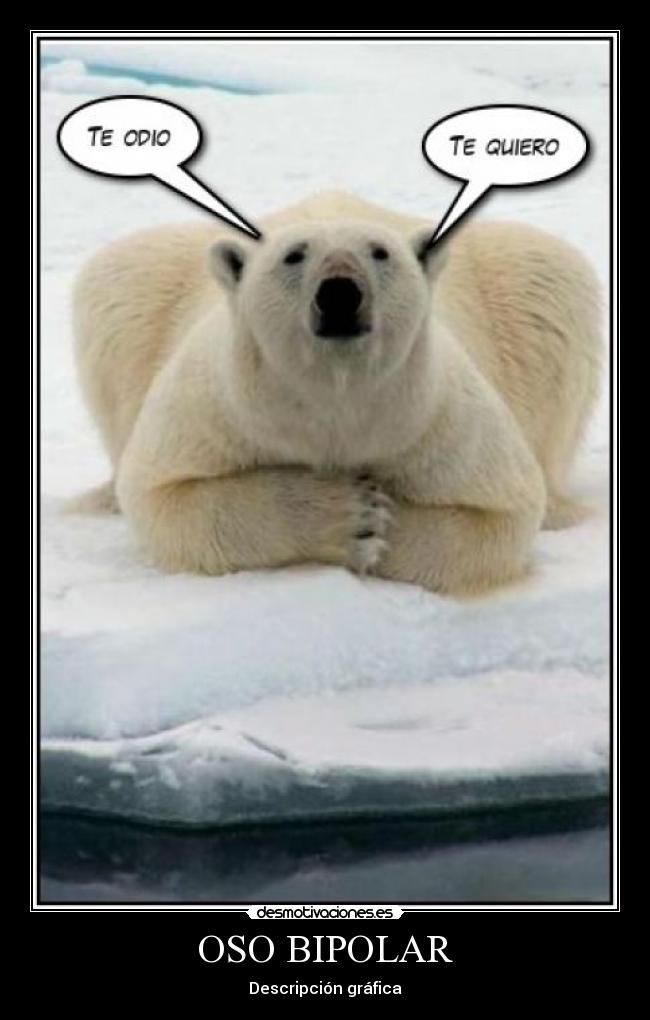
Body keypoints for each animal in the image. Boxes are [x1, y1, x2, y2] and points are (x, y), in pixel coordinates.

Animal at [70, 190, 602, 595]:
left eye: (380, 252)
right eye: (294, 254)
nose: (340, 292)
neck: (336, 401)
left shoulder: (441, 421)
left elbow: (501, 514)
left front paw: (379, 521)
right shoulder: (216, 409)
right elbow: (166, 497)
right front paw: (351, 515)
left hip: (520, 287)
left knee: (552, 277)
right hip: (147, 281)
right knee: (120, 279)